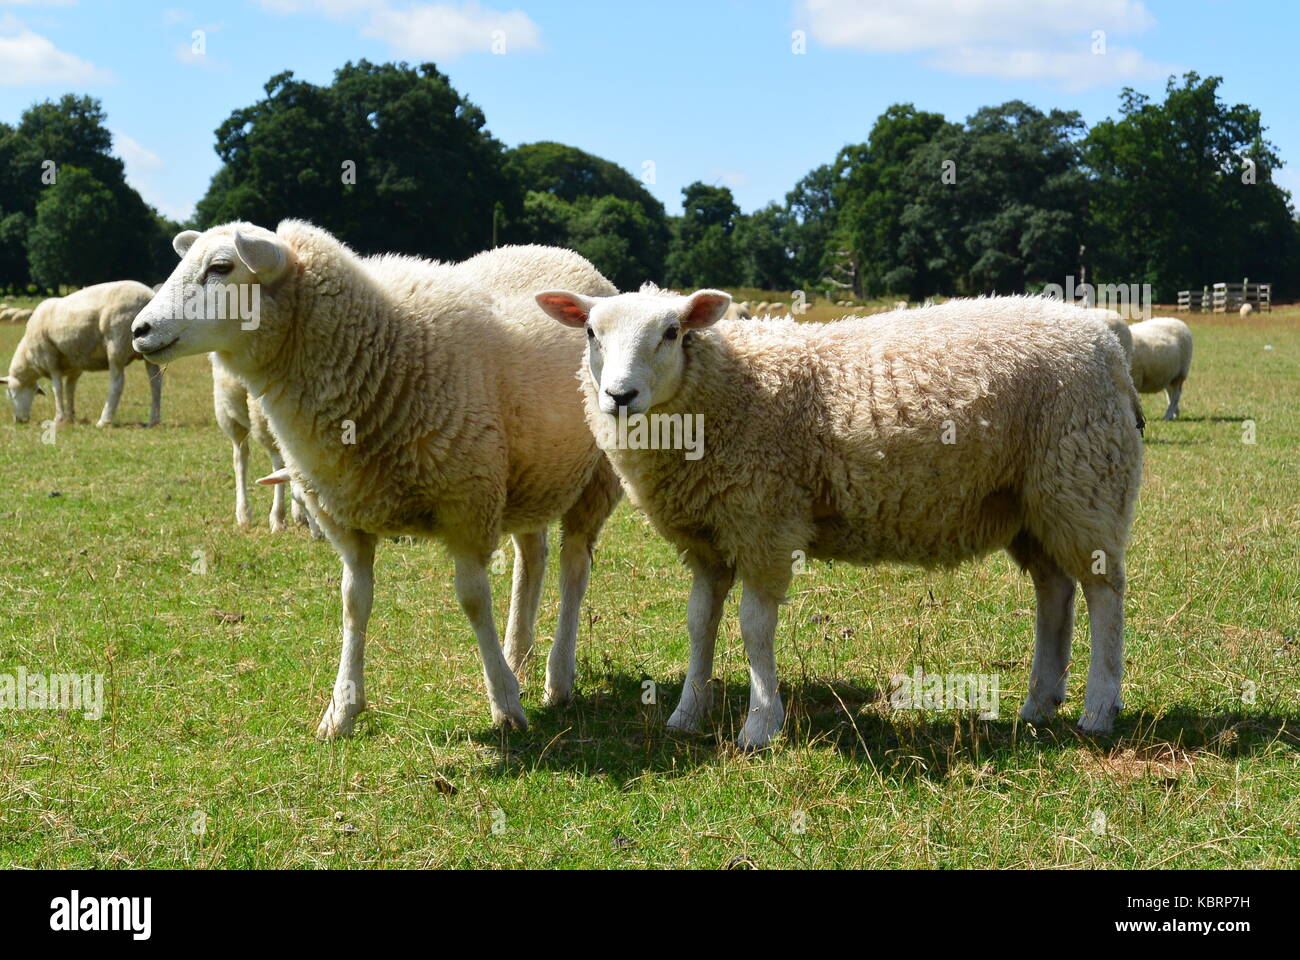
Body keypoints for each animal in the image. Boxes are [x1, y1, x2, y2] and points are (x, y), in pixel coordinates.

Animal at [3, 281, 163, 426]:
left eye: (10, 394)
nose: (18, 420)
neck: (28, 356)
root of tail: (149, 295)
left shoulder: (50, 360)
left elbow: (57, 390)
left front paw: (58, 418)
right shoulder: (74, 367)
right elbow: (70, 390)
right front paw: (70, 417)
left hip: (116, 345)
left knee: (117, 383)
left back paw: (104, 420)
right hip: (148, 350)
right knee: (156, 383)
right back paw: (153, 420)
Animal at [535, 288, 1145, 749]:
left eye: (671, 332)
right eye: (591, 333)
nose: (619, 395)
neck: (729, 389)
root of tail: (1104, 338)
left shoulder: (765, 524)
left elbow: (753, 628)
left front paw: (760, 725)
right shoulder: (706, 538)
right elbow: (699, 622)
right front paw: (686, 714)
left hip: (1083, 482)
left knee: (1104, 593)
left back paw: (1098, 708)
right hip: (1029, 504)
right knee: (1055, 590)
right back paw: (1039, 703)